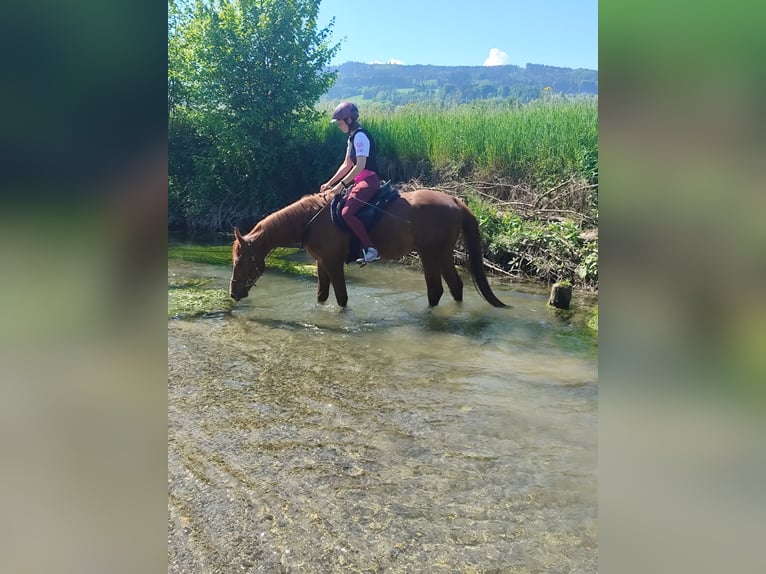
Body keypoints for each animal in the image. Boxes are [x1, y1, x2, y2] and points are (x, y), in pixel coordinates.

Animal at [229, 188, 508, 308]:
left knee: (436, 291)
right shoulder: (321, 262)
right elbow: (321, 295)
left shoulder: (333, 263)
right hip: (444, 255)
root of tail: (454, 200)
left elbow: (341, 297)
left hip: (429, 256)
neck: (310, 220)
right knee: (456, 287)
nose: (233, 293)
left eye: (240, 261)